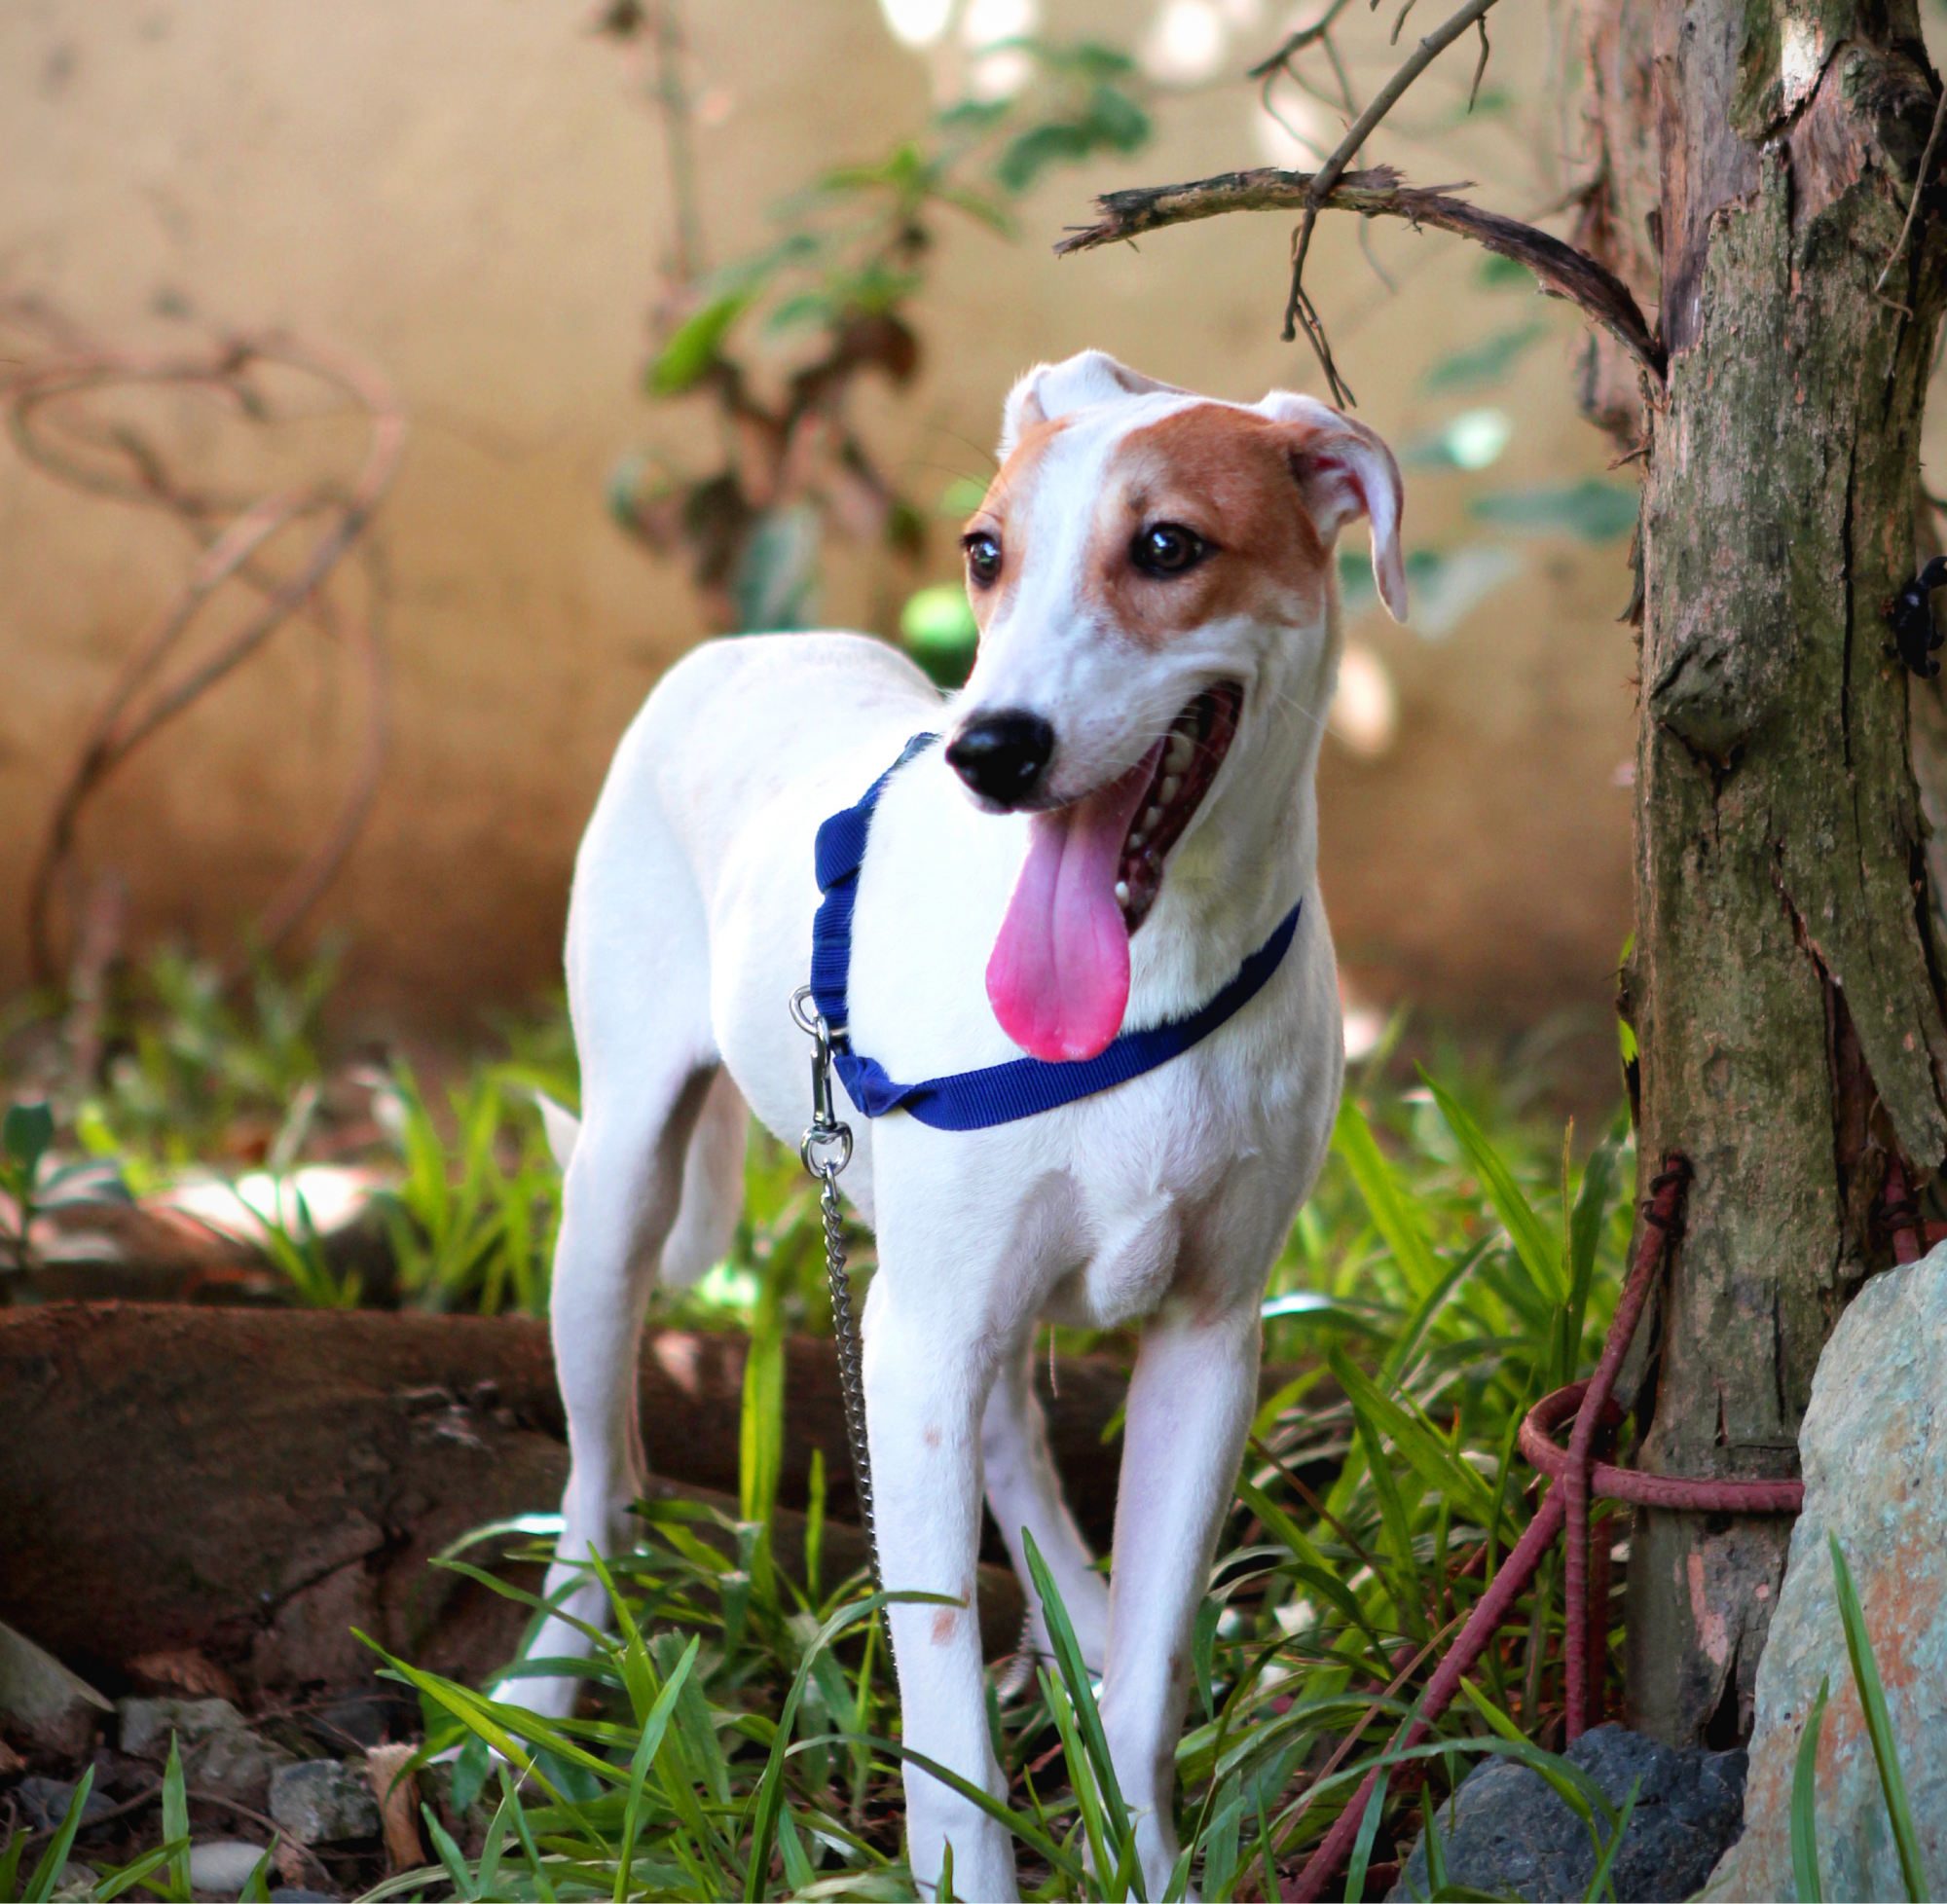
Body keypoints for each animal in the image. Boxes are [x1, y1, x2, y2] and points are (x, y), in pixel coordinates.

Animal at [510, 348, 1410, 1892]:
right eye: (985, 555)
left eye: (1166, 547)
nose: (990, 751)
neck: (1149, 980)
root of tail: (756, 641)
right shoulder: (918, 1346)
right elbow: (939, 1709)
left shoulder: (1208, 1341)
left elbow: (1153, 1678)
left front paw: (1138, 1839)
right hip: (627, 1191)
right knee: (596, 1472)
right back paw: (550, 1670)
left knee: (1011, 1449)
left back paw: (1079, 1625)